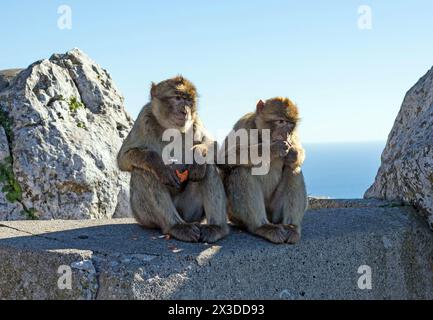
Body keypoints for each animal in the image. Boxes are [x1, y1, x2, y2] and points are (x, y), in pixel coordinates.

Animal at [116, 76, 228, 244]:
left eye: (188, 100)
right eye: (177, 98)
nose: (185, 111)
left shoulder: (195, 120)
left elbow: (213, 145)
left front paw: (198, 158)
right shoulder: (144, 118)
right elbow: (123, 158)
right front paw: (160, 167)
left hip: (191, 212)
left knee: (207, 168)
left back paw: (217, 228)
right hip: (142, 216)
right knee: (143, 172)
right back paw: (176, 226)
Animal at [219, 98, 308, 245]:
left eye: (290, 124)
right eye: (281, 121)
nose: (287, 134)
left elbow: (295, 159)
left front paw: (293, 154)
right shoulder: (243, 125)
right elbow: (225, 158)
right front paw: (272, 149)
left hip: (275, 212)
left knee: (293, 169)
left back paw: (291, 227)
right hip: (234, 214)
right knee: (241, 170)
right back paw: (261, 227)